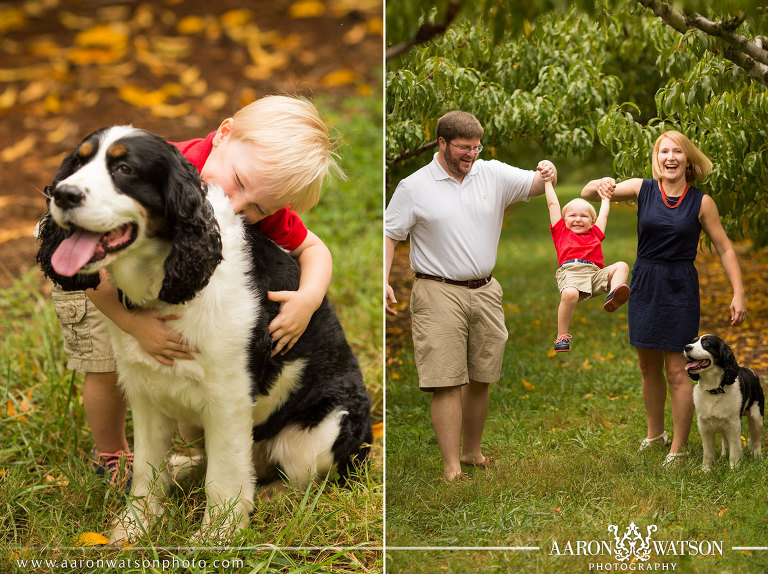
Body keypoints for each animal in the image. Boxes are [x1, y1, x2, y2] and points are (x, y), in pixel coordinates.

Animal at [37, 127, 374, 544]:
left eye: (125, 169)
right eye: (78, 163)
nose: (63, 194)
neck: (165, 285)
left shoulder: (228, 399)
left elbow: (224, 476)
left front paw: (218, 536)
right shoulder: (144, 392)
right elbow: (147, 468)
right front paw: (136, 525)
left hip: (323, 431)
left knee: (307, 479)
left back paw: (269, 496)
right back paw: (182, 468)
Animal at [684, 336, 760, 474]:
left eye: (706, 343)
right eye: (694, 341)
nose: (686, 347)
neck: (714, 390)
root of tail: (751, 370)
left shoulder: (734, 425)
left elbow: (735, 451)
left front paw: (734, 469)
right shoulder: (704, 426)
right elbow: (708, 452)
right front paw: (706, 470)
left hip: (757, 416)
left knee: (757, 440)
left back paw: (758, 457)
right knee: (725, 440)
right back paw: (723, 457)